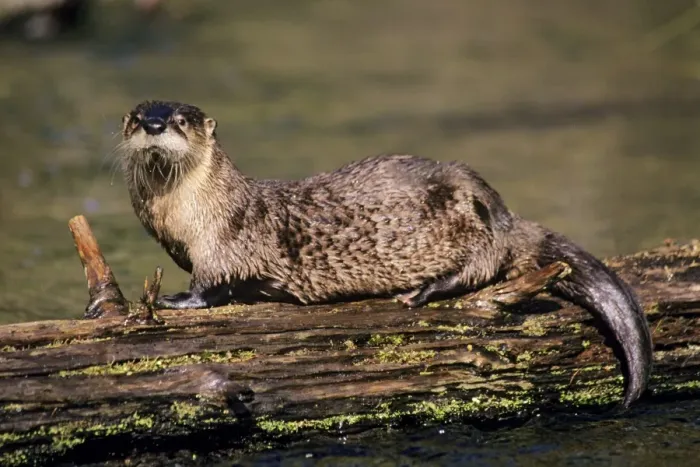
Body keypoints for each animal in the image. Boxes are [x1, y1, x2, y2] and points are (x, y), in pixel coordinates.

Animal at [118, 100, 653, 408]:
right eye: (134, 116)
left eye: (181, 121)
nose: (154, 123)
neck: (188, 217)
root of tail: (493, 204)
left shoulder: (225, 242)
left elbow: (212, 284)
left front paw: (174, 301)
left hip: (466, 226)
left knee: (484, 264)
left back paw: (424, 291)